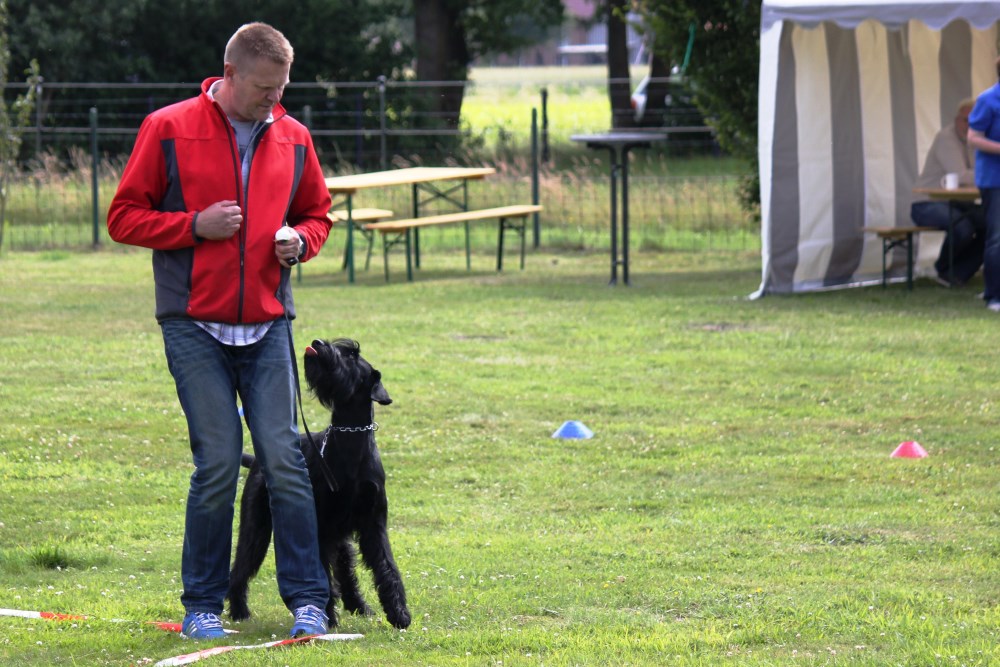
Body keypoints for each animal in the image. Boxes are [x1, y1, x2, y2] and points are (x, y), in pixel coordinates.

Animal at [227, 342, 410, 628]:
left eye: (352, 355)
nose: (317, 344)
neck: (351, 443)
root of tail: (257, 460)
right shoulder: (322, 527)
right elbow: (323, 575)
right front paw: (328, 619)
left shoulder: (373, 523)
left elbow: (386, 565)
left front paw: (399, 612)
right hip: (257, 526)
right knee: (241, 565)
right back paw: (239, 611)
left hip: (339, 533)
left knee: (345, 570)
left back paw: (358, 605)